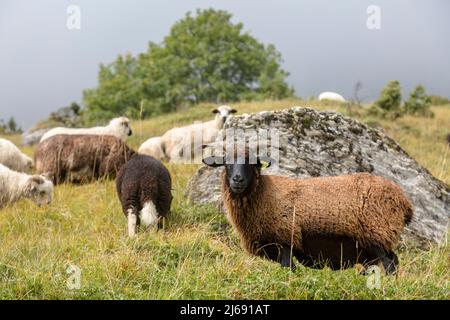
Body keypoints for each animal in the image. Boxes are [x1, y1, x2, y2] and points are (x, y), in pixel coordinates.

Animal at [202, 149, 414, 274]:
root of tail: (404, 201)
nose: (237, 179)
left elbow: (287, 268)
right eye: (226, 163)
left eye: (253, 163)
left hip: (377, 232)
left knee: (390, 262)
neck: (265, 194)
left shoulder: (285, 238)